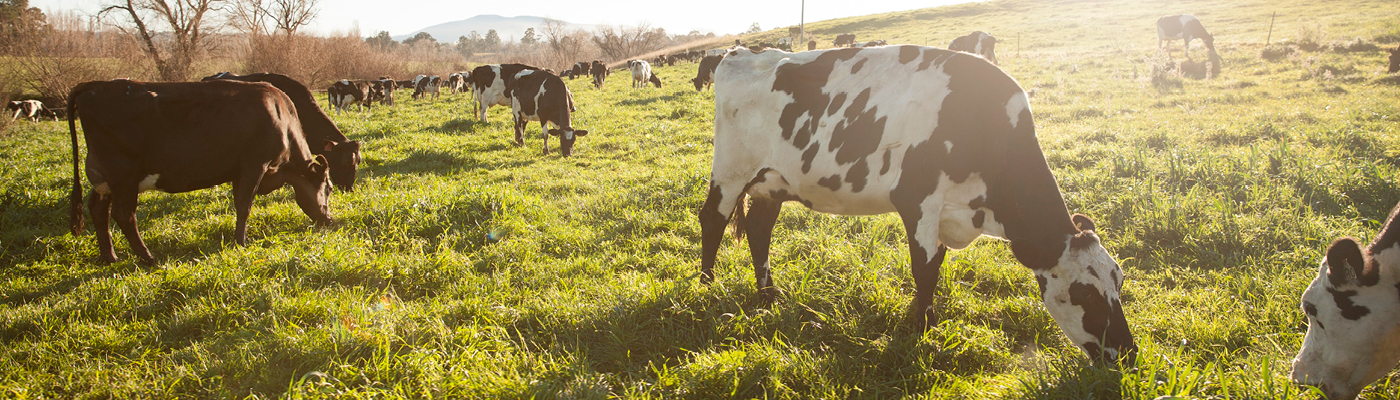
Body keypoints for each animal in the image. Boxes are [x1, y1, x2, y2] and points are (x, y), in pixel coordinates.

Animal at [67, 79, 334, 265]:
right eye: (329, 188)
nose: (329, 220)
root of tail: (95, 86)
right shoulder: (254, 166)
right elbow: (244, 206)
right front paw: (241, 242)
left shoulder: (239, 173)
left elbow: (239, 204)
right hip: (123, 178)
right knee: (124, 215)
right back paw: (147, 258)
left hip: (105, 180)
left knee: (98, 210)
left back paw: (110, 257)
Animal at [701, 46, 1137, 366]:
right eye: (1085, 294)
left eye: (1119, 280)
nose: (1129, 354)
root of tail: (739, 52)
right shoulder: (918, 201)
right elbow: (924, 269)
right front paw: (918, 330)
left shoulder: (946, 212)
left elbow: (936, 265)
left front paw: (925, 321)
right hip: (731, 170)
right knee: (713, 219)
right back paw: (707, 286)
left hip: (772, 183)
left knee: (759, 230)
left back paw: (767, 295)